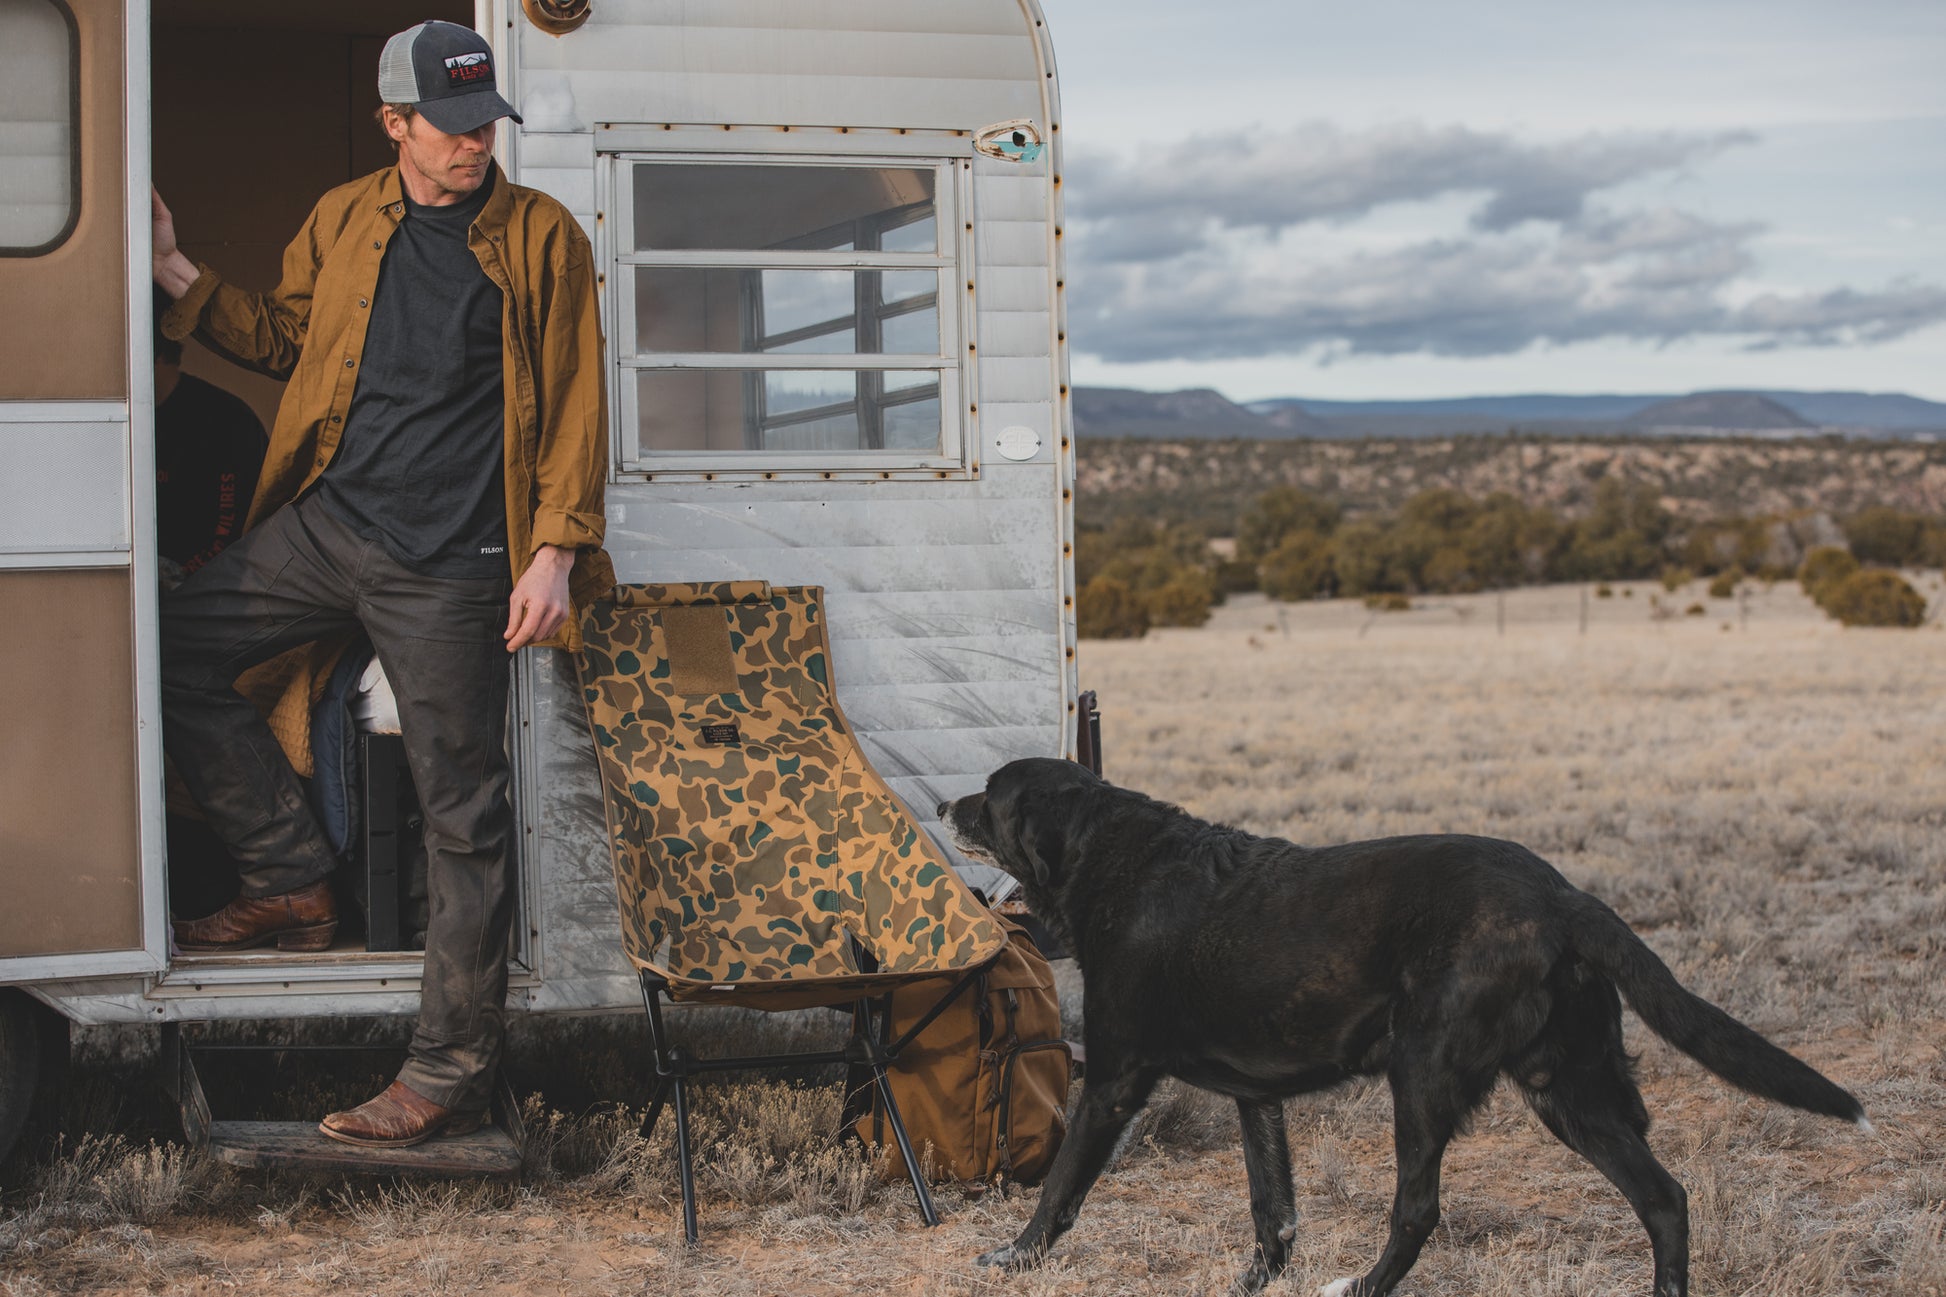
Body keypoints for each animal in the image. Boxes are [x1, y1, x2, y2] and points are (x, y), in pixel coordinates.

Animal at [941, 751, 1868, 1285]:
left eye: (990, 795)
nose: (946, 805)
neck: (1107, 853)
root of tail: (1563, 895)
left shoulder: (1114, 1080)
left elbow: (1061, 1185)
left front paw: (1013, 1256)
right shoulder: (1256, 1095)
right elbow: (1271, 1207)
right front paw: (1255, 1282)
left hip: (1425, 1071)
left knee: (1417, 1209)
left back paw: (1360, 1285)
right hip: (1569, 1089)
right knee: (1665, 1197)